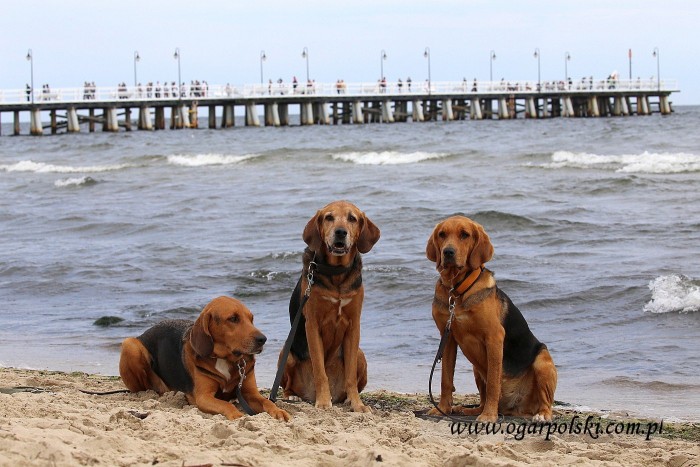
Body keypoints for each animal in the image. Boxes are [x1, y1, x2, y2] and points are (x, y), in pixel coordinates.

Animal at [119, 298, 288, 422]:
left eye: (251, 319)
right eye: (233, 318)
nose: (263, 339)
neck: (224, 358)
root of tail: (144, 333)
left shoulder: (250, 393)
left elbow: (267, 401)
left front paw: (279, 411)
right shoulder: (203, 397)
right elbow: (225, 404)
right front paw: (236, 415)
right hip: (130, 345)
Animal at [278, 199, 380, 412]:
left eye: (352, 218)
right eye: (329, 217)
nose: (340, 232)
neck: (336, 272)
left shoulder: (354, 326)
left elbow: (350, 376)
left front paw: (357, 404)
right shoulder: (312, 324)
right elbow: (319, 370)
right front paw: (324, 402)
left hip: (361, 355)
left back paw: (347, 399)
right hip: (286, 352)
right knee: (288, 384)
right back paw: (293, 396)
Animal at [426, 217, 556, 424]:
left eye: (464, 234)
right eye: (442, 234)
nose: (448, 252)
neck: (457, 290)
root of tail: (516, 409)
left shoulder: (494, 338)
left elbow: (494, 382)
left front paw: (488, 415)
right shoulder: (447, 339)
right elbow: (446, 379)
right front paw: (443, 409)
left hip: (543, 361)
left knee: (546, 402)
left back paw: (542, 414)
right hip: (476, 369)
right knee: (482, 398)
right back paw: (468, 410)